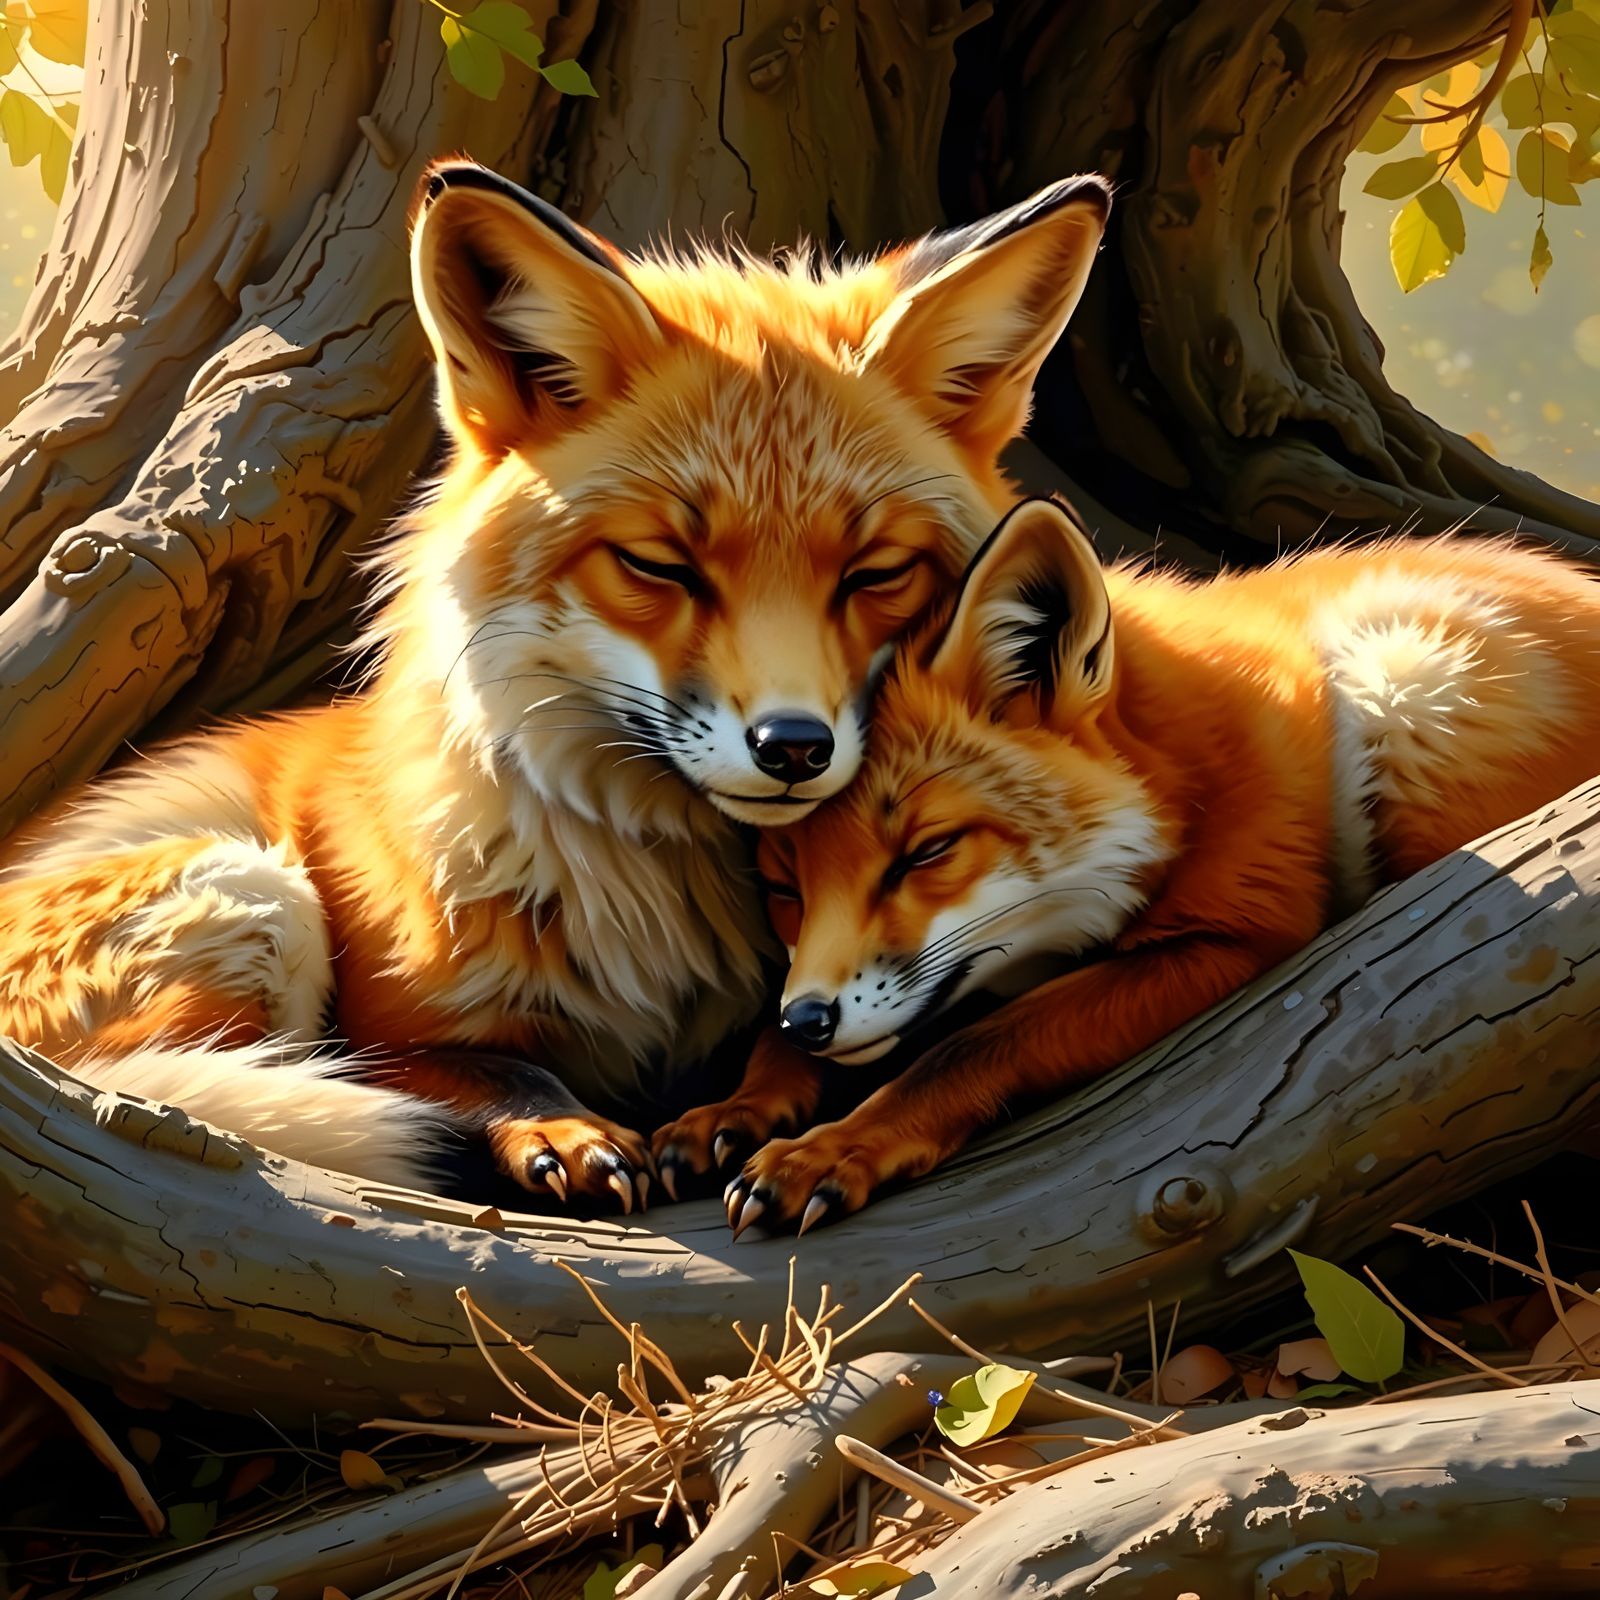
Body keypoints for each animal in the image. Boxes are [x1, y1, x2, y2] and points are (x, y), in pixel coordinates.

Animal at [0, 162, 1114, 1201]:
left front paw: (746, 1109)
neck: (653, 913)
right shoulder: (384, 1032)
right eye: (661, 565)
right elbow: (481, 1069)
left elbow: (795, 1034)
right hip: (254, 890)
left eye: (876, 573)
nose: (795, 747)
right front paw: (564, 1127)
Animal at [664, 497, 1600, 1235]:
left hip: (1407, 682)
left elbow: (975, 1042)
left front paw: (836, 1147)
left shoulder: (1233, 938)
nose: (810, 1020)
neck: (1181, 784)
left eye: (928, 852)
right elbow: (785, 1038)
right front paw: (742, 1102)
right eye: (783, 886)